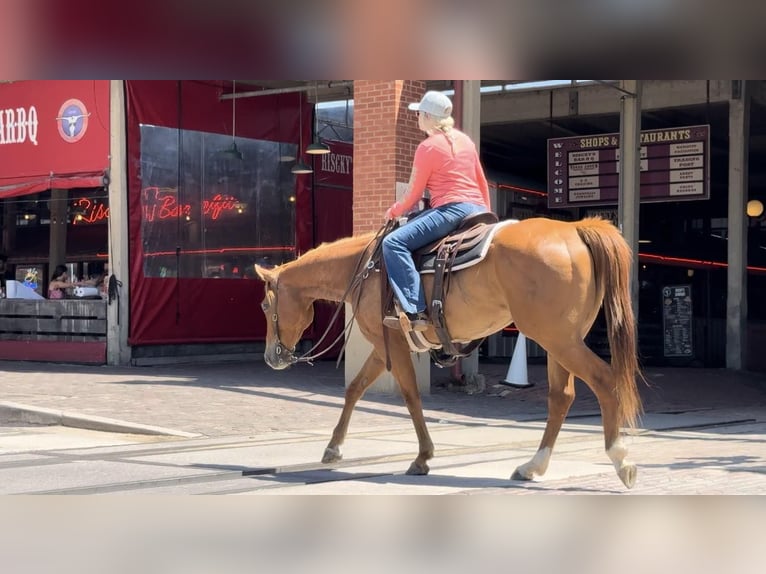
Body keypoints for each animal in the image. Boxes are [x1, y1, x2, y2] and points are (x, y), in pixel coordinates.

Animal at [255, 217, 644, 490]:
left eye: (264, 305)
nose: (271, 357)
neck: (365, 268)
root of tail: (575, 229)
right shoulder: (383, 348)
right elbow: (355, 389)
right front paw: (333, 448)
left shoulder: (390, 343)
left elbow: (410, 396)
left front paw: (422, 457)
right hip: (558, 341)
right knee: (561, 397)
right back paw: (532, 466)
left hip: (558, 339)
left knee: (604, 381)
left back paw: (620, 458)